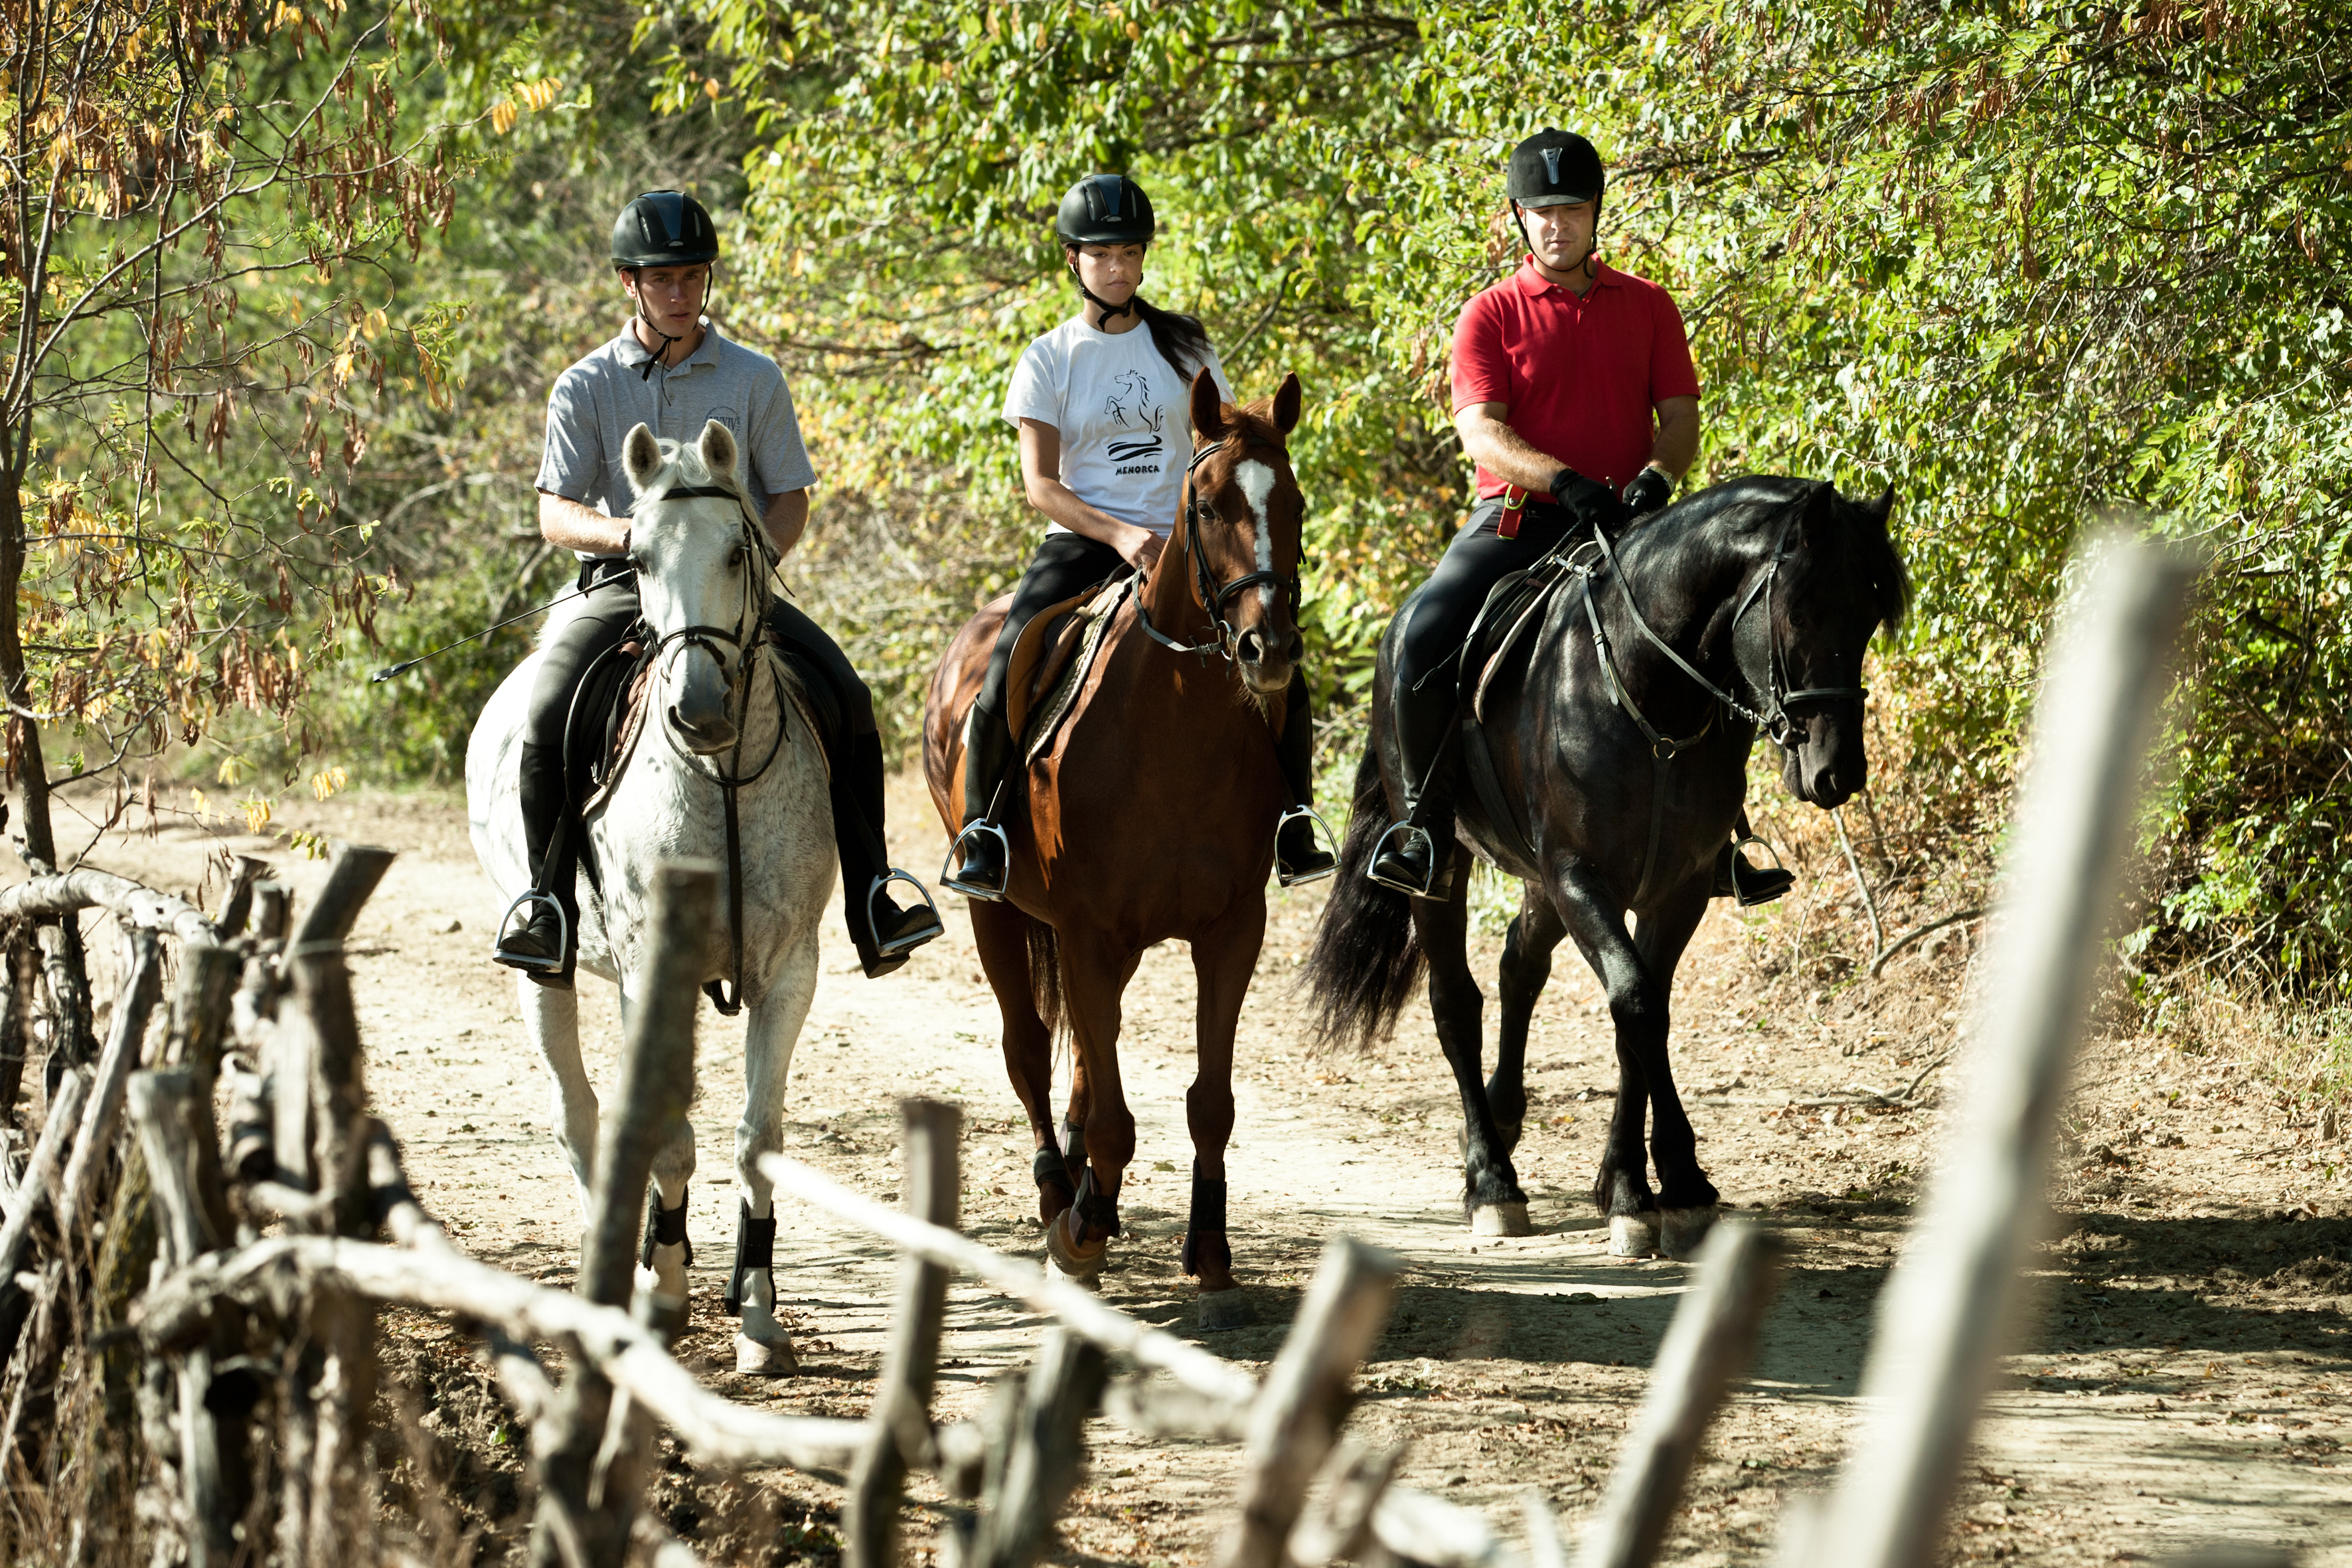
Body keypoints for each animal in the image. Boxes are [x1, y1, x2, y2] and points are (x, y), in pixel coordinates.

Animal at [463, 414, 832, 1373]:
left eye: (738, 551)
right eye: (636, 556)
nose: (697, 709)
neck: (719, 778)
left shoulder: (792, 969)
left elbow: (758, 1140)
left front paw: (758, 1316)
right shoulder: (643, 971)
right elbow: (666, 1135)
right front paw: (661, 1291)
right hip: (545, 971)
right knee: (581, 1117)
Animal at [921, 368, 1307, 1326]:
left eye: (1291, 500)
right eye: (1205, 505)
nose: (1269, 648)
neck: (1171, 724)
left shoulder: (1228, 932)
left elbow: (1208, 1102)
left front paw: (1209, 1249)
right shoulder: (1087, 932)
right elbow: (1108, 1112)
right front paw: (1082, 1234)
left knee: (1086, 1064)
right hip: (1000, 919)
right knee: (1028, 1048)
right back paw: (1061, 1195)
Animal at [1307, 479, 1909, 1260]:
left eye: (1866, 617)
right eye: (1800, 610)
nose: (1837, 772)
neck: (1647, 693)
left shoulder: (1674, 890)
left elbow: (1641, 1017)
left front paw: (1635, 1188)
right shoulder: (1579, 877)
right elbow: (1637, 1006)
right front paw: (1674, 1184)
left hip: (1538, 882)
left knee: (1519, 965)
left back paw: (1505, 1116)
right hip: (1447, 870)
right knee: (1455, 1002)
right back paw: (1491, 1180)